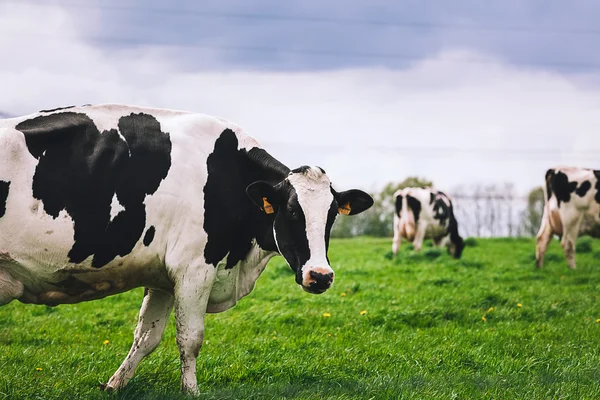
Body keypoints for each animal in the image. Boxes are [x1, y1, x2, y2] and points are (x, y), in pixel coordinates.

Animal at [0, 104, 372, 394]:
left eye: (331, 217)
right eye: (292, 212)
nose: (320, 276)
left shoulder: (163, 276)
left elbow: (146, 337)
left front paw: (114, 385)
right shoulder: (194, 267)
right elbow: (190, 338)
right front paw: (191, 391)